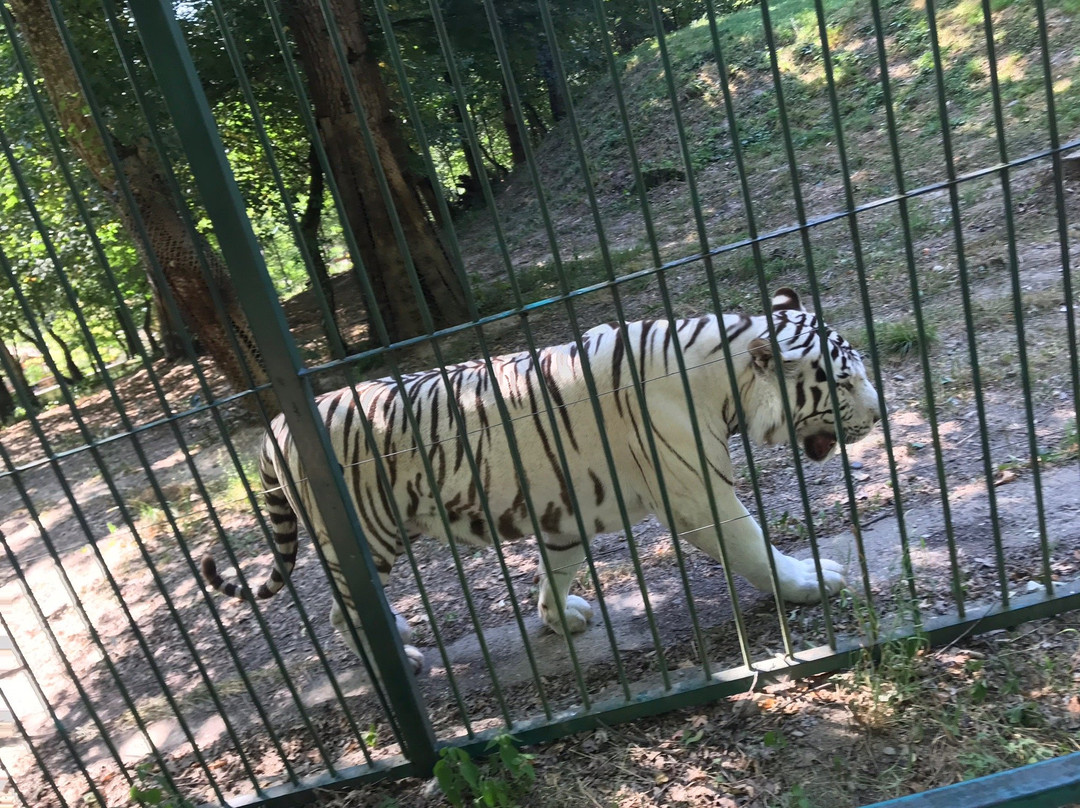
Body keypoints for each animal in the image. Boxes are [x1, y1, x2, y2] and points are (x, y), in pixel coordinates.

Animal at [200, 287, 876, 674]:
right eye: (843, 382)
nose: (880, 408)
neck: (724, 383)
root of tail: (276, 425)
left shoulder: (567, 511)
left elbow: (558, 568)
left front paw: (560, 617)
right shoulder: (699, 494)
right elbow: (755, 548)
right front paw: (810, 582)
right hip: (368, 536)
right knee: (341, 612)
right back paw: (402, 660)